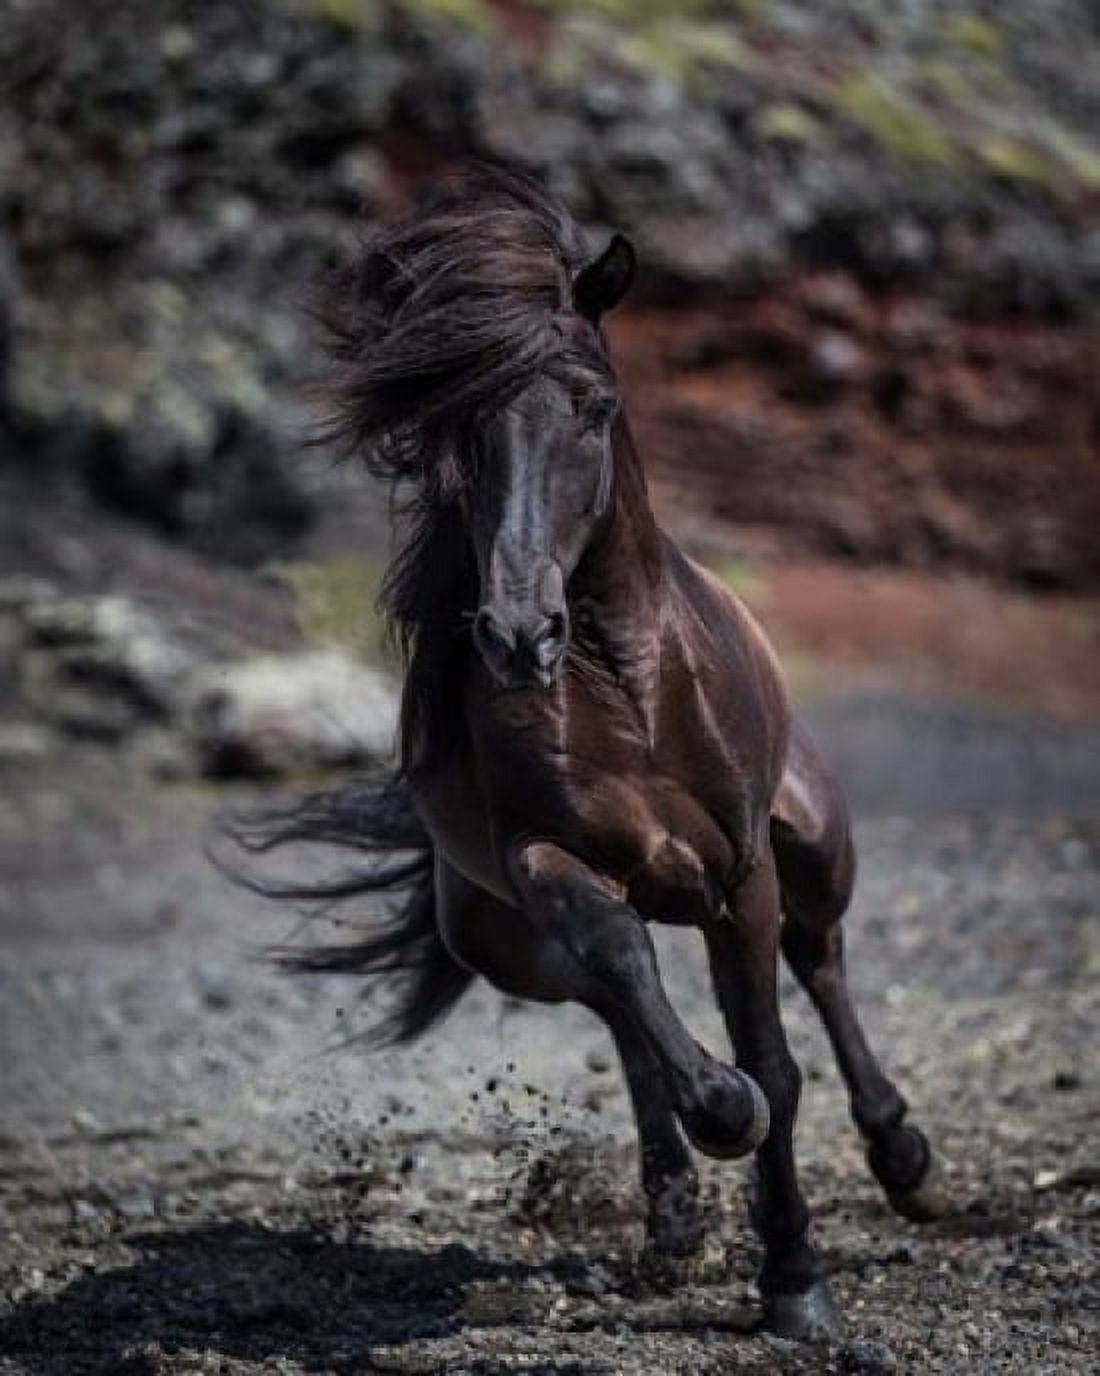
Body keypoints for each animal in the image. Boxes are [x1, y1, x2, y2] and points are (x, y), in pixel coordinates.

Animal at [235, 165, 949, 1339]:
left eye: (595, 407)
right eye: (458, 422)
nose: (520, 634)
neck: (629, 690)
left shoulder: (739, 874)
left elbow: (775, 1054)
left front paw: (795, 1279)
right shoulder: (548, 861)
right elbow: (639, 982)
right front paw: (721, 1123)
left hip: (811, 840)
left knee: (822, 958)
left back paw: (904, 1158)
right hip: (503, 943)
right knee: (612, 997)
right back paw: (675, 1211)